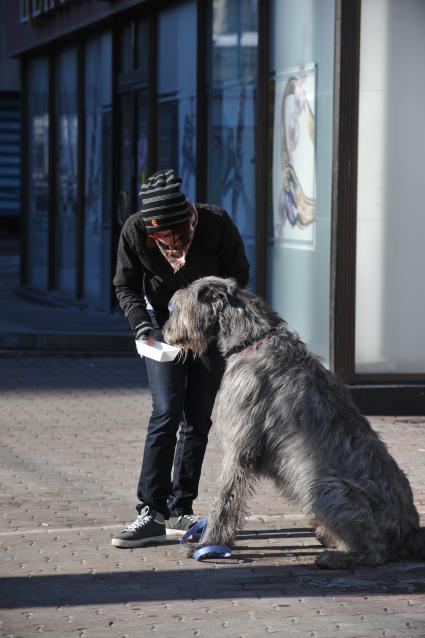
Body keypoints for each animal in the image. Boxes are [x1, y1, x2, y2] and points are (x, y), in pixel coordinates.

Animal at [163, 276, 424, 568]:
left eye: (177, 306)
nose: (164, 331)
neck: (252, 339)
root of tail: (411, 531)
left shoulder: (240, 446)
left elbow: (225, 497)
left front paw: (208, 545)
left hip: (323, 487)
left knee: (376, 552)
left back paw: (335, 557)